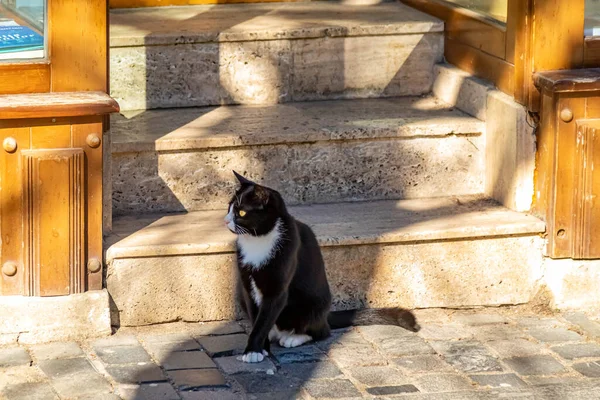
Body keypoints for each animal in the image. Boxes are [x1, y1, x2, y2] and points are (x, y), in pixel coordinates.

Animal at [224, 170, 418, 364]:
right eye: (229, 208)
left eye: (241, 212)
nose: (225, 221)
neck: (257, 241)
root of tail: (326, 315)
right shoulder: (247, 286)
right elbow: (257, 317)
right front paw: (260, 348)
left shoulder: (277, 287)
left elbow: (264, 319)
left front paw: (253, 350)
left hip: (311, 304)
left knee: (322, 331)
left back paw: (294, 337)